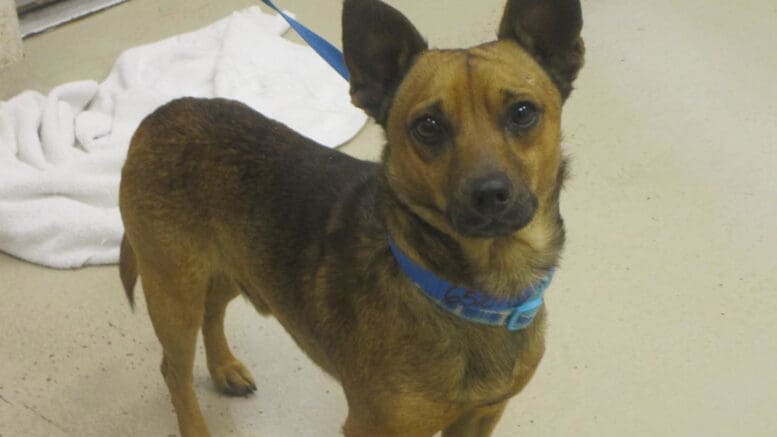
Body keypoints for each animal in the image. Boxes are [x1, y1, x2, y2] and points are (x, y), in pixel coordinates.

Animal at [118, 0, 584, 432]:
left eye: (523, 113)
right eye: (428, 126)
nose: (488, 194)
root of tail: (155, 119)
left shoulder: (482, 416)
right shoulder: (372, 427)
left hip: (230, 266)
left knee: (212, 312)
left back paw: (224, 369)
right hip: (174, 293)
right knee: (174, 371)